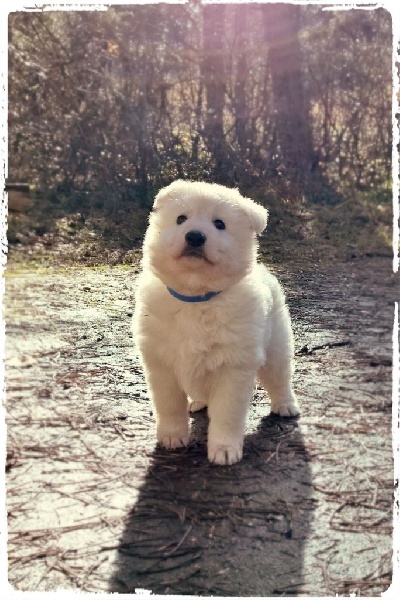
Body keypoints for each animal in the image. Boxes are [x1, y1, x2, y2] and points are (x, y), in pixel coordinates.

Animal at [133, 178, 298, 464]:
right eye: (181, 219)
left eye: (219, 224)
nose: (195, 236)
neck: (197, 298)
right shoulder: (161, 363)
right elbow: (168, 405)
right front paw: (172, 436)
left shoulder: (233, 367)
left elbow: (226, 414)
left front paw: (224, 449)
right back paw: (197, 402)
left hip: (276, 346)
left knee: (279, 377)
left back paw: (286, 405)